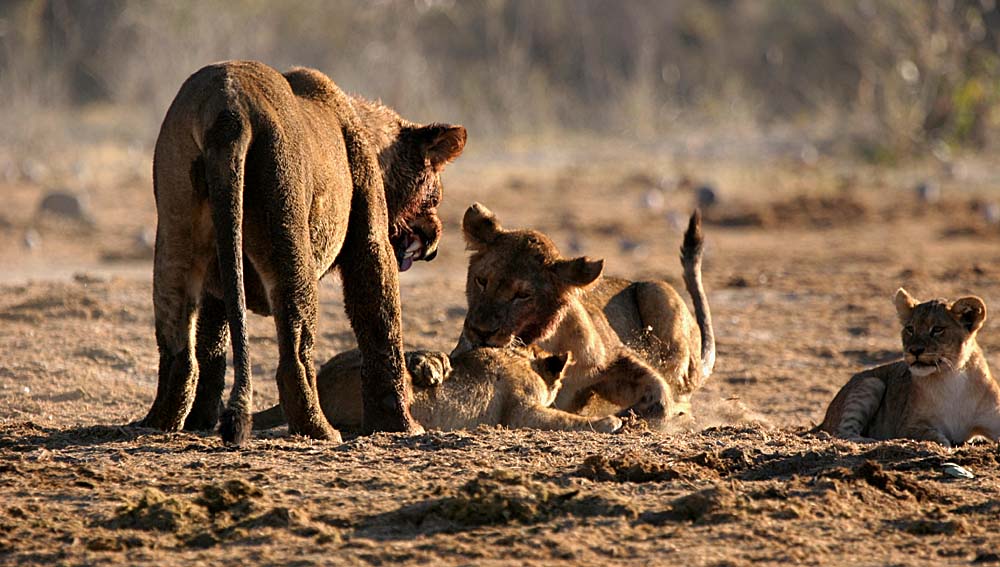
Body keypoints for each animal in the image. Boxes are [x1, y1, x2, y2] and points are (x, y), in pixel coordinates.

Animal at [140, 60, 464, 446]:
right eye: (435, 196)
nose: (434, 242)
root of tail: (228, 114)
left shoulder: (216, 283)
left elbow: (212, 342)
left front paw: (199, 421)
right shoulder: (370, 238)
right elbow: (380, 324)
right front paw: (399, 425)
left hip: (175, 232)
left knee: (177, 344)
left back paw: (159, 422)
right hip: (288, 227)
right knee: (294, 354)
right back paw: (320, 430)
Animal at [816, 290, 1000, 446]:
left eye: (937, 329)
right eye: (910, 329)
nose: (914, 350)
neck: (952, 378)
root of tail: (823, 421)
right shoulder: (907, 426)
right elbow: (936, 437)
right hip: (872, 383)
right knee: (841, 432)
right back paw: (871, 440)